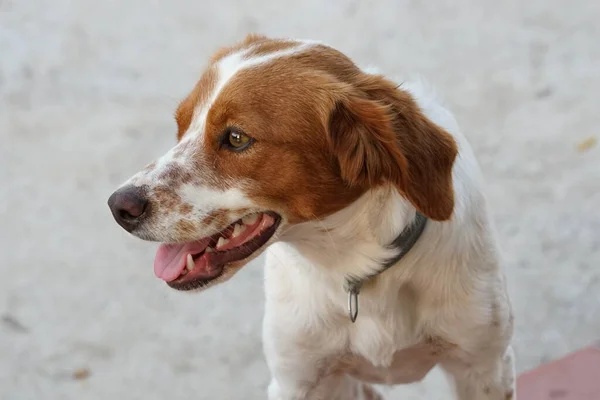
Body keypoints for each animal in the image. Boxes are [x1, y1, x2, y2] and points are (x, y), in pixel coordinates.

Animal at [108, 35, 516, 400]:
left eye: (237, 138)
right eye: (180, 126)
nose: (118, 206)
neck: (355, 267)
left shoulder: (485, 367)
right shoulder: (299, 379)